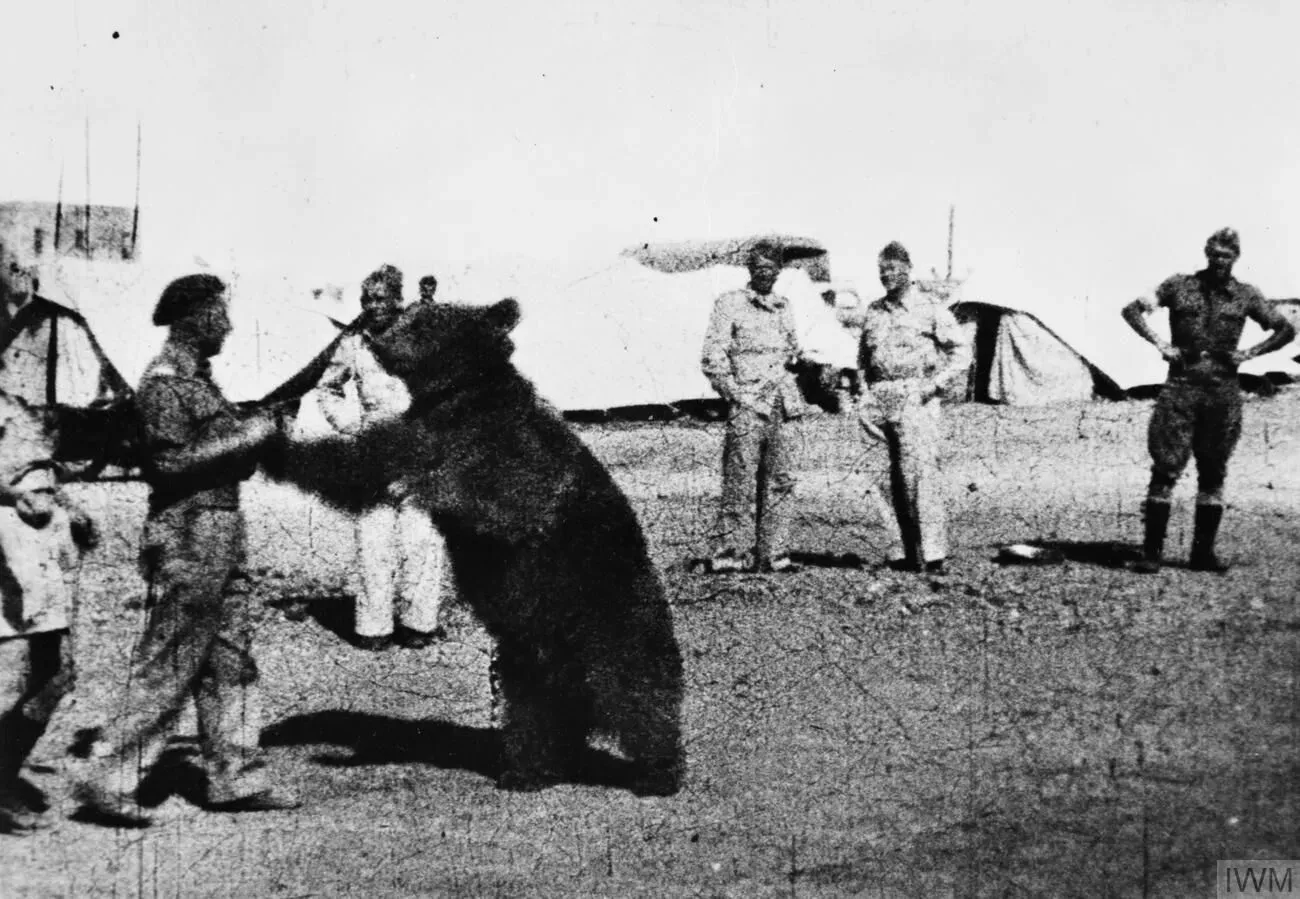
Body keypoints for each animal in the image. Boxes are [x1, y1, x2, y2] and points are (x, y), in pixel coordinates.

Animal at [263, 298, 685, 797]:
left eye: (422, 317)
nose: (374, 328)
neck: (454, 395)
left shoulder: (504, 449)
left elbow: (499, 496)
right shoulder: (416, 433)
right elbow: (357, 465)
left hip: (606, 617)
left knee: (635, 693)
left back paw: (657, 772)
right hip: (530, 655)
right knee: (534, 715)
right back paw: (528, 770)